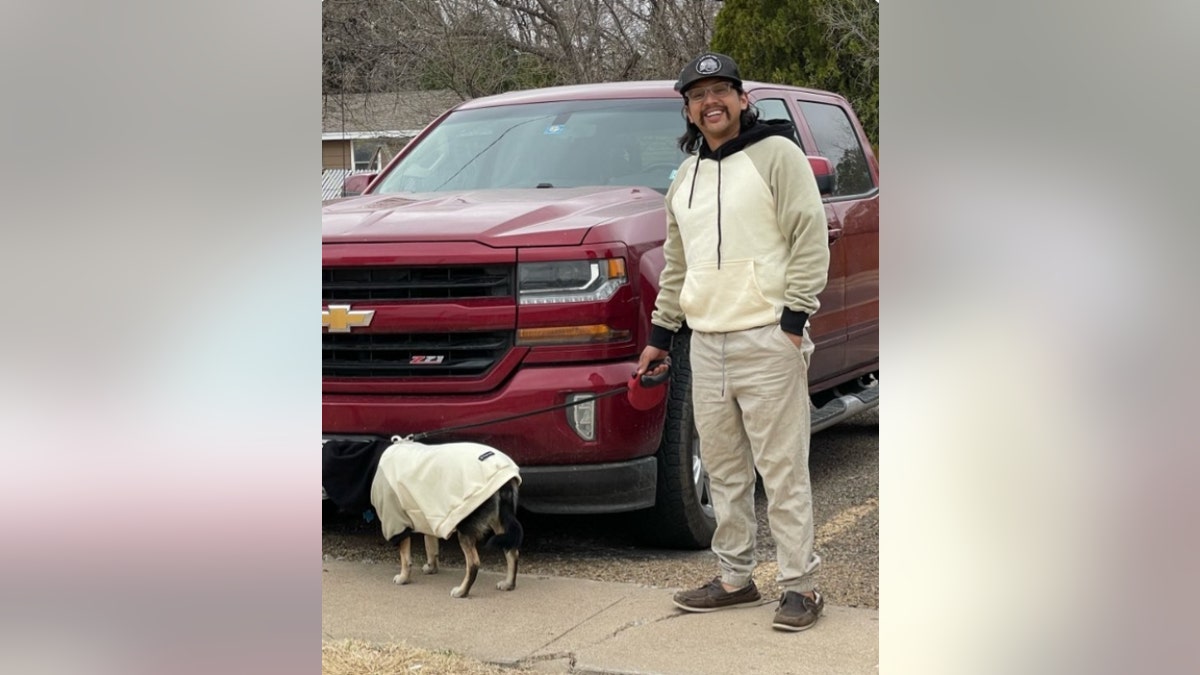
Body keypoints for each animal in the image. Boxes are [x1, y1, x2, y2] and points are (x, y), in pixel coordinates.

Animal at [321, 432, 523, 595]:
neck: (372, 460)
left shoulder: (396, 520)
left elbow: (406, 558)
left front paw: (404, 577)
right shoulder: (426, 511)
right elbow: (430, 545)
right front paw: (432, 567)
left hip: (466, 523)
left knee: (473, 564)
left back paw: (462, 591)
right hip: (499, 522)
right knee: (512, 552)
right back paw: (508, 583)